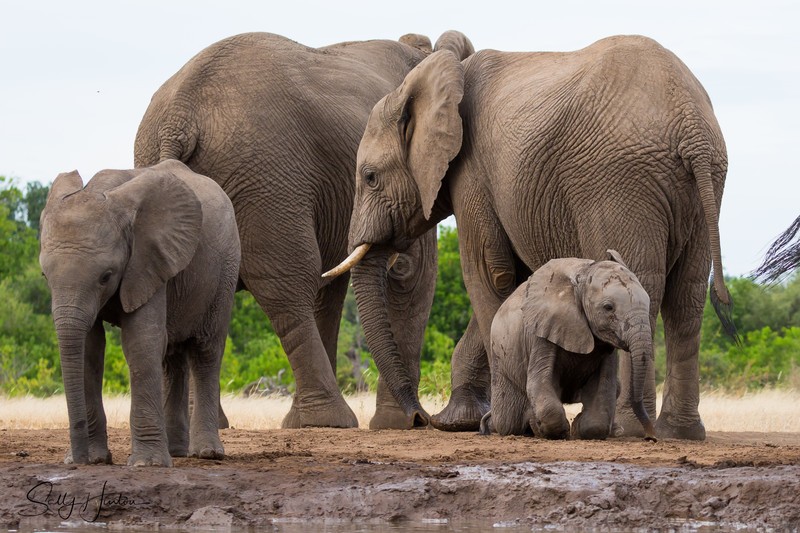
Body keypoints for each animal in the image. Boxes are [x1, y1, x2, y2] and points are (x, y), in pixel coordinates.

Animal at [39, 160, 240, 466]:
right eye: (44, 275)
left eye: (106, 276)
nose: (78, 460)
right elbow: (89, 349)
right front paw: (96, 459)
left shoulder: (149, 260)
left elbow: (141, 341)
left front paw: (148, 464)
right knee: (172, 356)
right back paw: (176, 452)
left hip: (225, 269)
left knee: (206, 351)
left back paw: (207, 454)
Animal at [135, 30, 481, 430]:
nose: (422, 416)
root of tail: (179, 118)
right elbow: (409, 275)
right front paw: (399, 424)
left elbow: (330, 291)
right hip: (266, 174)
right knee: (290, 283)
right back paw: (331, 420)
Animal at [479, 252, 656, 441]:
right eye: (608, 307)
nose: (650, 437)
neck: (582, 276)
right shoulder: (542, 330)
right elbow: (539, 382)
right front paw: (558, 431)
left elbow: (603, 394)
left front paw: (577, 428)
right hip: (500, 356)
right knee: (509, 421)